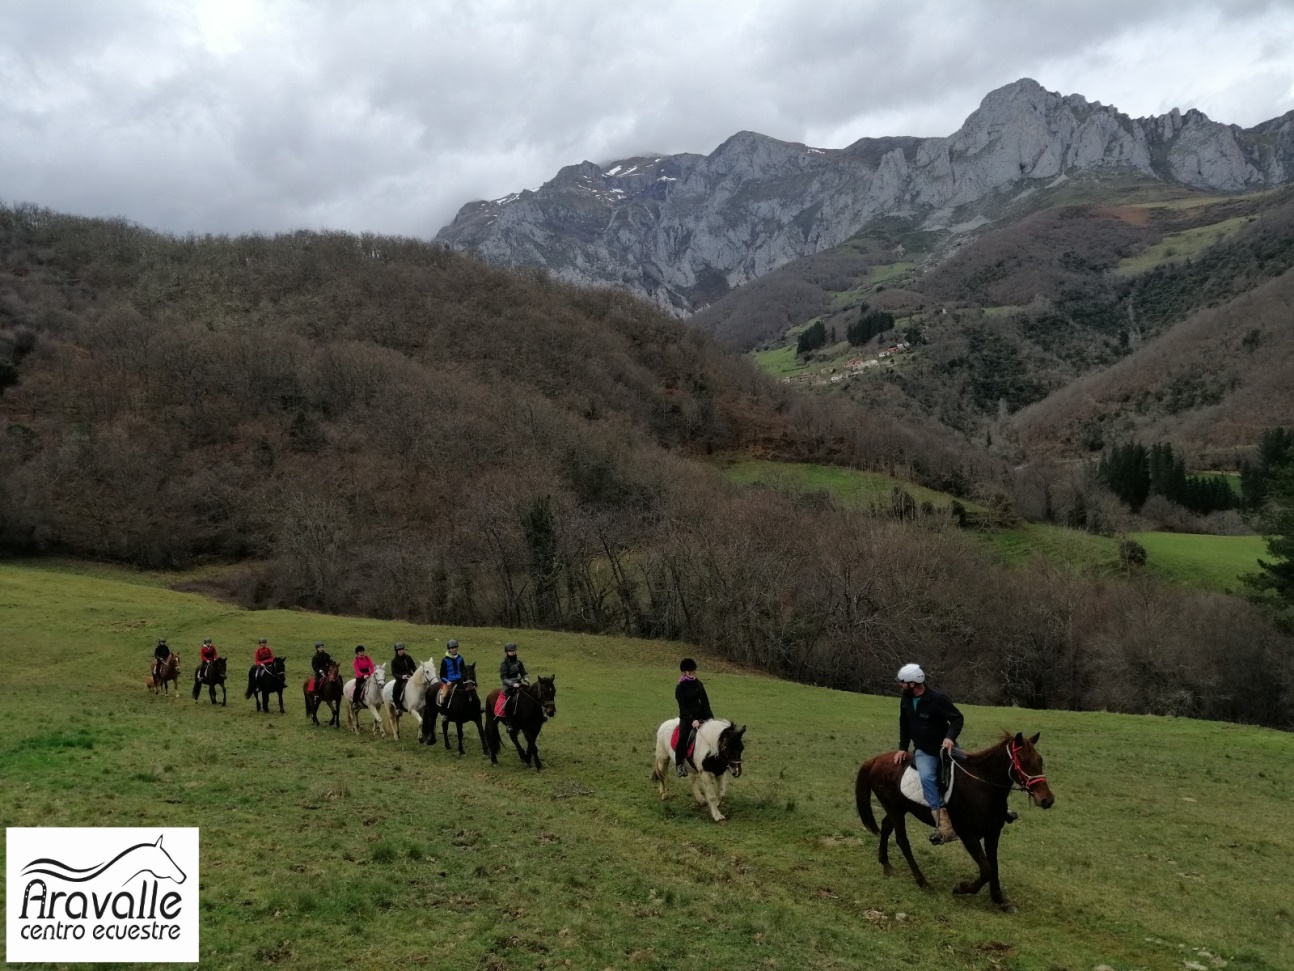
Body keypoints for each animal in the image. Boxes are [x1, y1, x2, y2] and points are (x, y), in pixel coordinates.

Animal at [854, 735, 1055, 911]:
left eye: (1040, 760)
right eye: (1024, 761)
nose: (1047, 799)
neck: (981, 787)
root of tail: (876, 759)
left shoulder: (993, 833)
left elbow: (993, 865)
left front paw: (999, 898)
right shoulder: (968, 834)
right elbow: (987, 869)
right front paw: (962, 888)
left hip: (899, 809)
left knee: (886, 827)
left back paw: (886, 865)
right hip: (894, 809)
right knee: (902, 841)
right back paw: (923, 882)